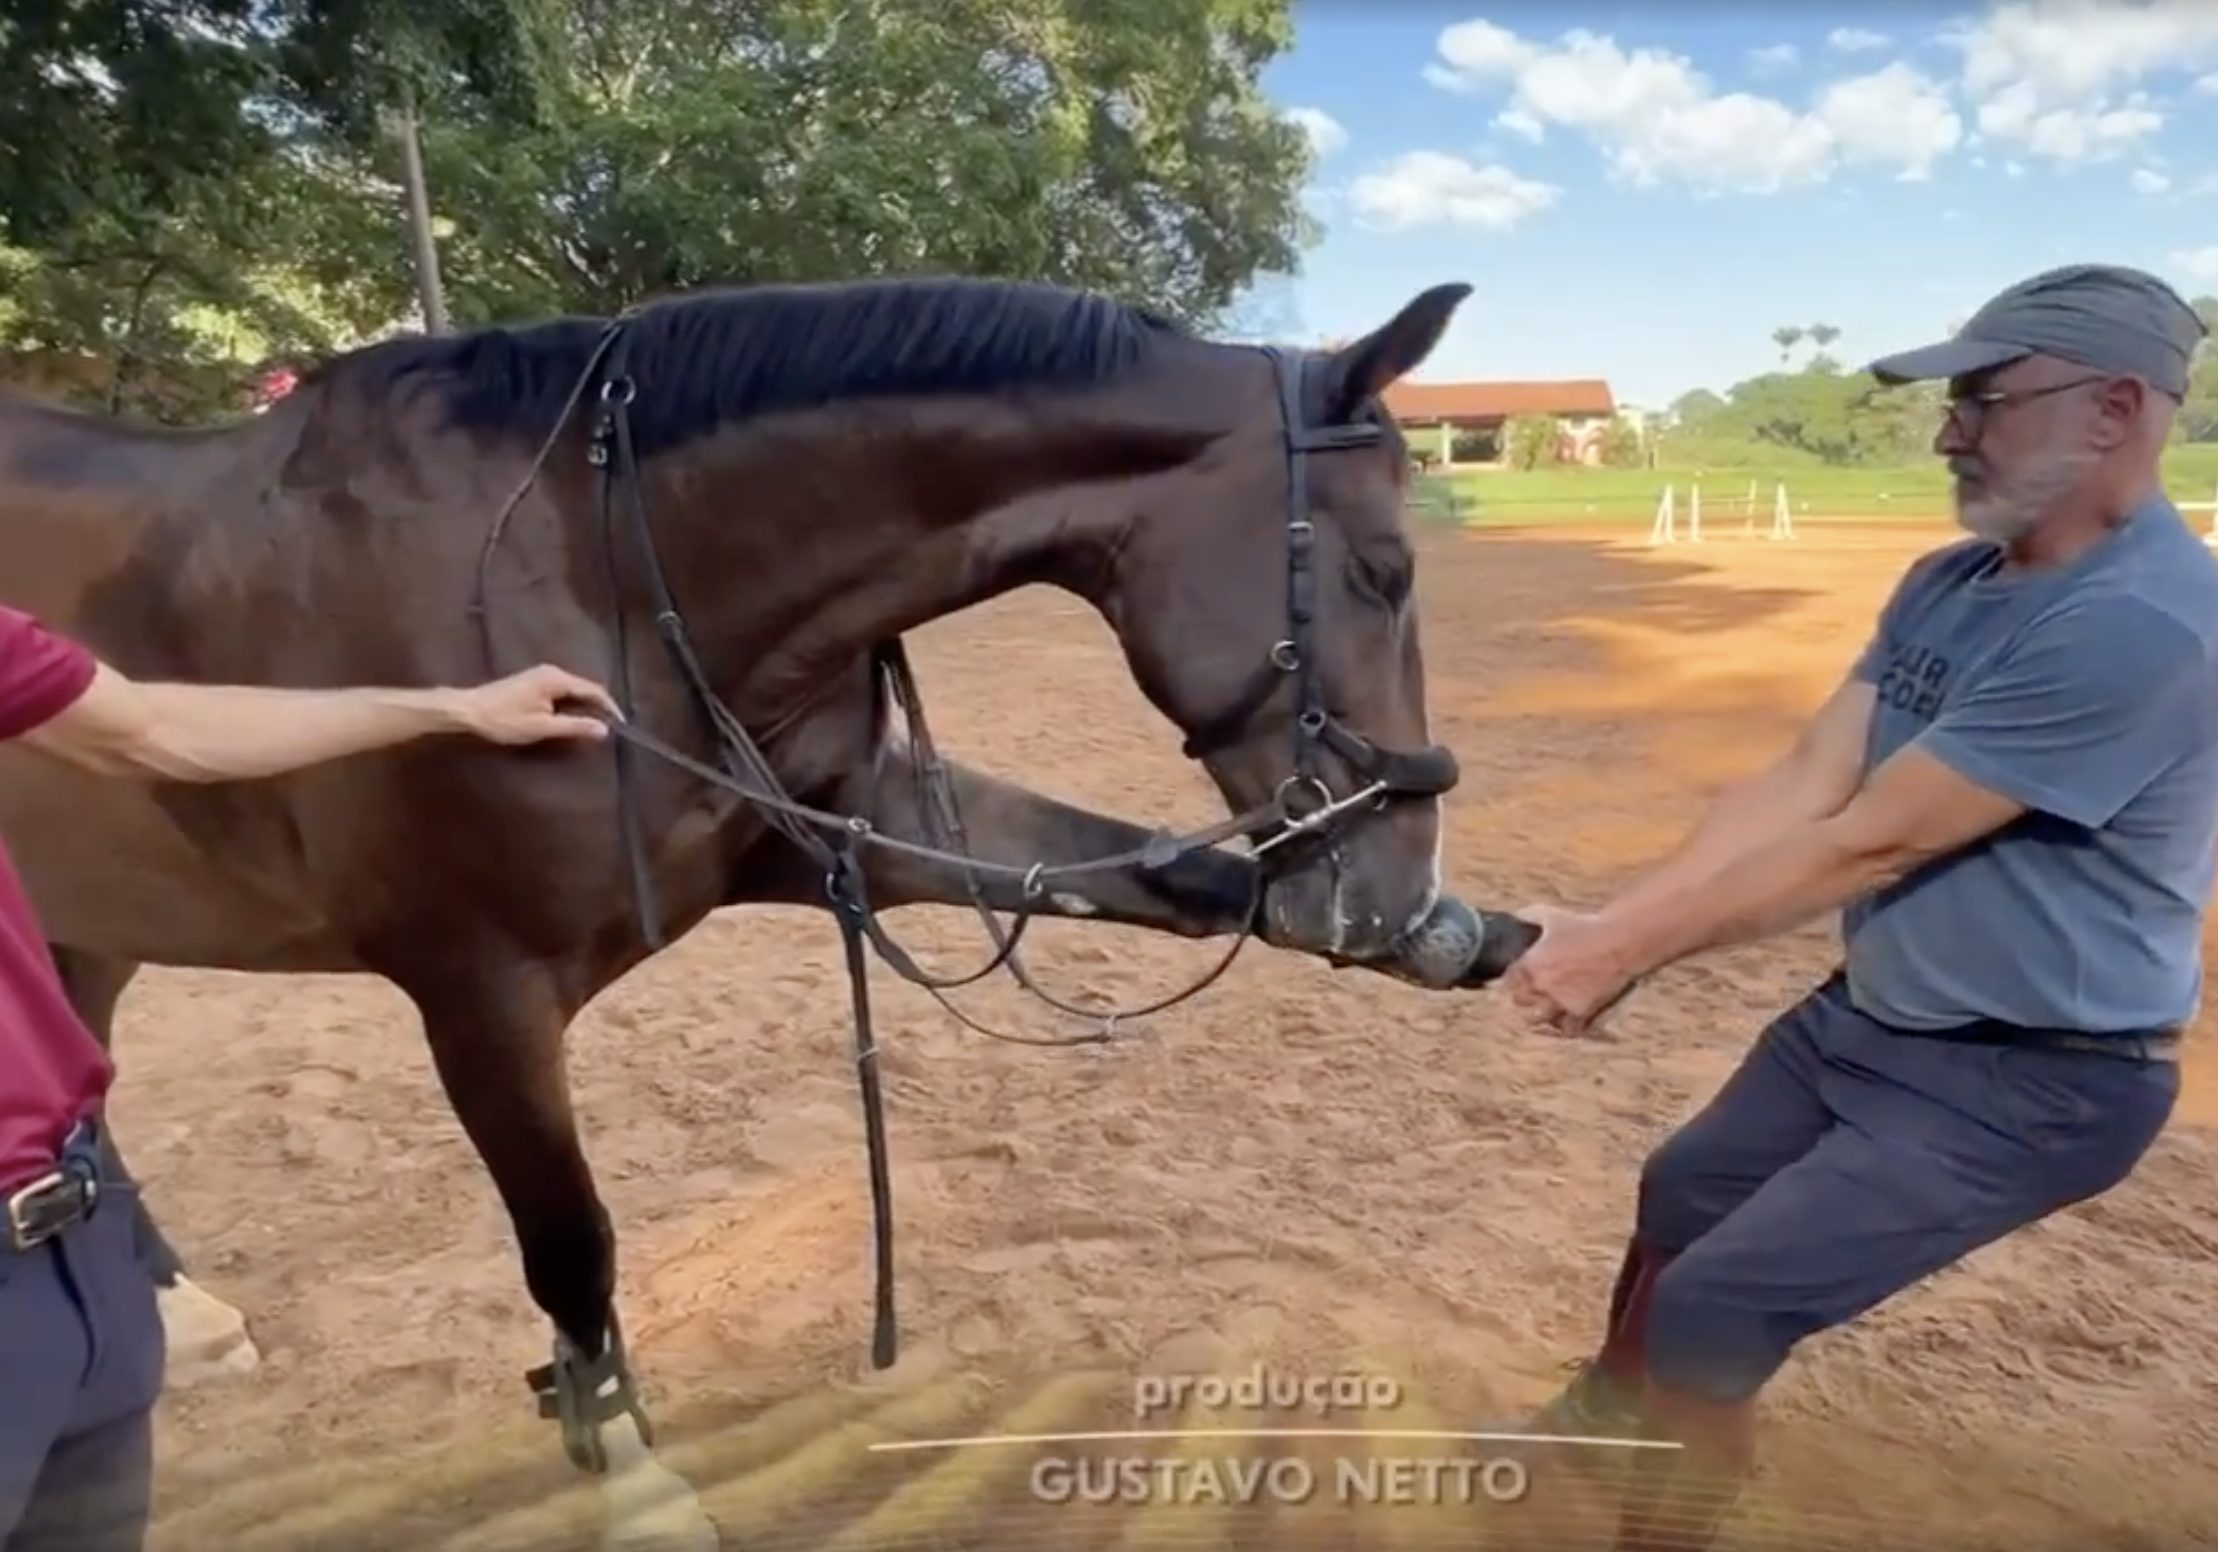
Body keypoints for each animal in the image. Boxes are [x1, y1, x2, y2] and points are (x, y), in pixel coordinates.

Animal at [0, 272, 1537, 1546]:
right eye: (1382, 572)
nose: (1393, 886)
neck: (599, 566)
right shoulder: (478, 994)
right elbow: (573, 1243)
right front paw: (632, 1483)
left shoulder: (848, 831)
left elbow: (1176, 879)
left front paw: (1472, 940)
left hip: (89, 920)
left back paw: (180, 1312)